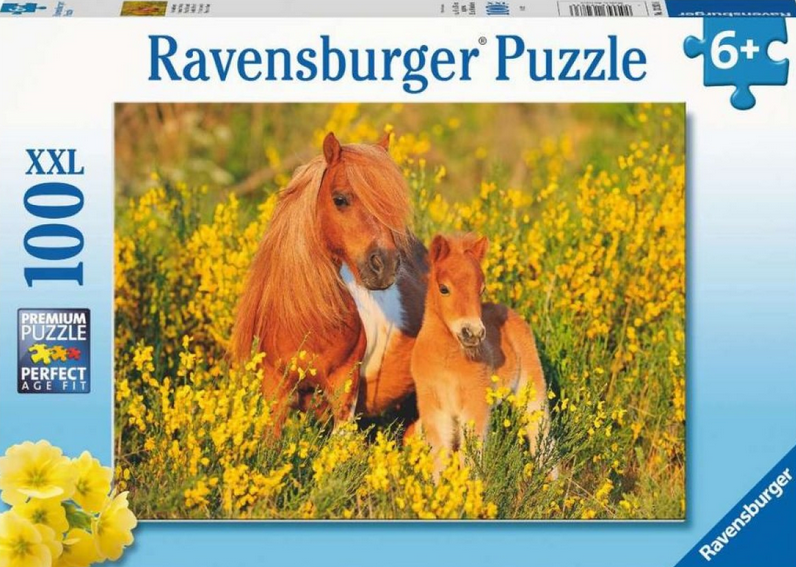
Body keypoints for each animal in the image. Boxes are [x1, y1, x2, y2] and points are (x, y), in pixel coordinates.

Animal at [410, 234, 556, 477]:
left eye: (481, 289)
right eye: (443, 288)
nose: (473, 333)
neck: (447, 362)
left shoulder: (475, 404)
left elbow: (470, 459)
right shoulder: (434, 407)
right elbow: (439, 458)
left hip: (531, 385)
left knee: (541, 434)